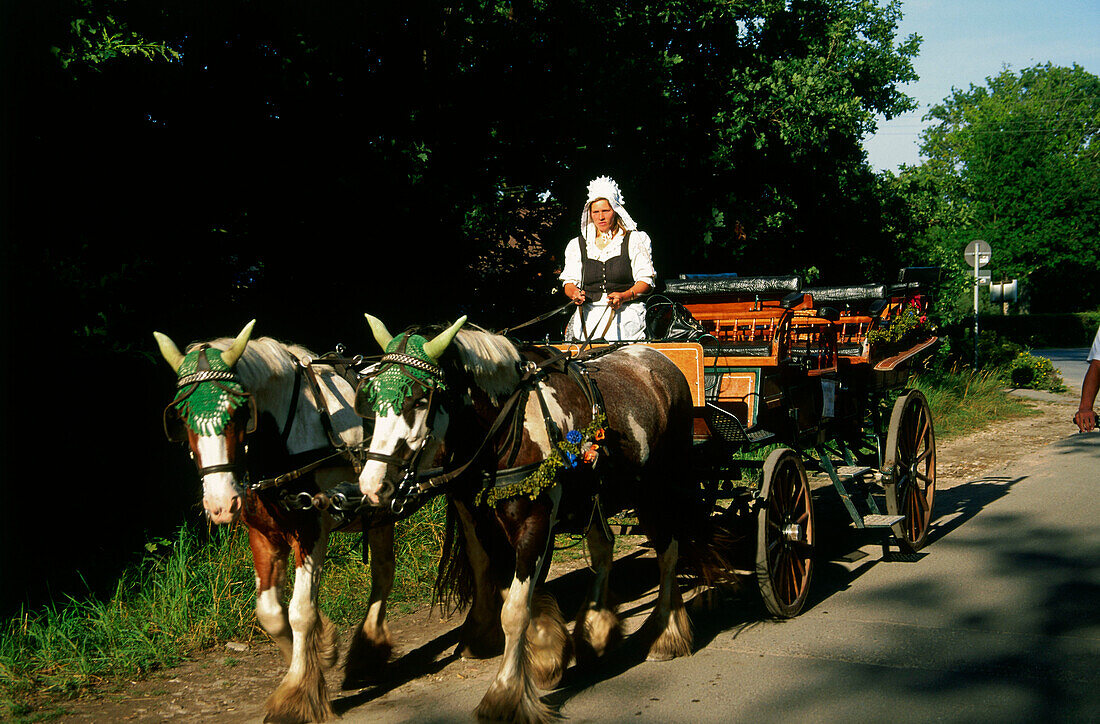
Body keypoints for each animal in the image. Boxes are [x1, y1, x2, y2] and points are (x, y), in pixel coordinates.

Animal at [154, 321, 396, 721]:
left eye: (239, 412)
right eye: (183, 417)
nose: (220, 504)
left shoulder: (311, 528)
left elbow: (300, 612)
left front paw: (296, 694)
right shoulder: (263, 533)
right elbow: (269, 613)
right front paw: (318, 657)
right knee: (384, 571)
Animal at [356, 312, 726, 717]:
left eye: (421, 399)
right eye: (370, 398)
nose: (372, 484)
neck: (507, 425)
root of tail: (659, 360)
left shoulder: (535, 521)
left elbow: (515, 610)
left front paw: (504, 692)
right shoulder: (483, 522)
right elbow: (505, 588)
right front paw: (548, 650)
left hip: (659, 488)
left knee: (668, 551)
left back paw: (665, 634)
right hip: (596, 492)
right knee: (605, 548)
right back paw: (596, 630)